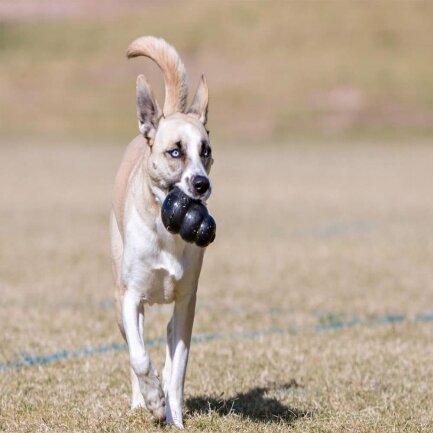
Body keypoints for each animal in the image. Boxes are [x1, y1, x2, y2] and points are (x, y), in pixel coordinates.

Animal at [109, 35, 213, 426]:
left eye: (206, 151)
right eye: (175, 152)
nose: (201, 184)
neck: (167, 231)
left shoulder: (187, 301)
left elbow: (178, 368)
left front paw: (174, 416)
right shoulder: (130, 296)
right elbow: (139, 356)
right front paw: (153, 399)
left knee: (169, 341)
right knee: (133, 345)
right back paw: (143, 400)